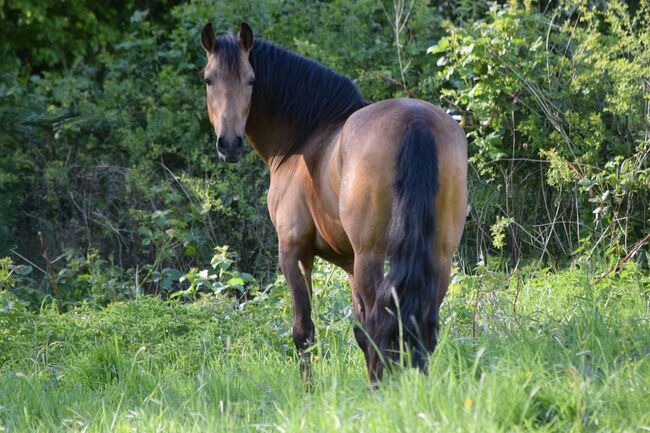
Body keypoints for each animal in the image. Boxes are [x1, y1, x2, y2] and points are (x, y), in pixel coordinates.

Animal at [200, 22, 467, 382]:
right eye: (209, 79)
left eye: (251, 80)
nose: (229, 144)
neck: (306, 136)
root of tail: (415, 120)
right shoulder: (349, 264)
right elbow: (359, 331)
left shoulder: (294, 251)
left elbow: (304, 331)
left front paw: (309, 389)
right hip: (439, 255)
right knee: (422, 324)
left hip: (371, 256)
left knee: (381, 320)